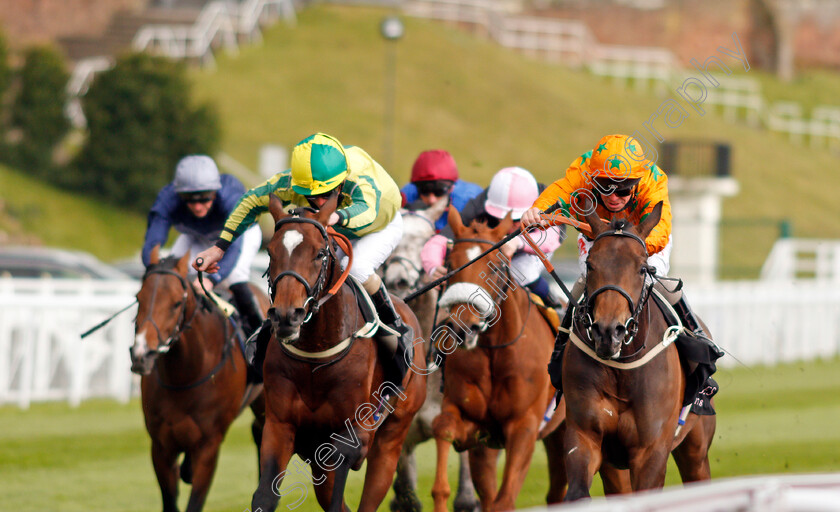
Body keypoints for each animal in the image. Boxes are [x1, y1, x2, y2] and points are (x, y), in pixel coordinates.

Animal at [130, 250, 268, 510]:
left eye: (176, 303)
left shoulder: (209, 446)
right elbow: (170, 500)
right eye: (138, 298)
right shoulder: (161, 446)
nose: (141, 354)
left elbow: (195, 500)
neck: (185, 376)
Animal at [253, 195, 426, 512]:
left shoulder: (352, 434)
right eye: (270, 252)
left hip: (393, 436)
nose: (286, 316)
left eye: (320, 253)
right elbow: (264, 497)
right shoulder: (279, 425)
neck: (315, 355)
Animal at [430, 206, 568, 510]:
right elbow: (443, 427)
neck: (495, 351)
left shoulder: (524, 427)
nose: (464, 328)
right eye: (451, 264)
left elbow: (504, 500)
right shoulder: (476, 428)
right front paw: (441, 494)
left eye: (494, 265)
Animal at [560, 203, 720, 500]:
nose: (608, 331)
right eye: (590, 264)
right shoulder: (585, 435)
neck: (620, 369)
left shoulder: (651, 450)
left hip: (696, 447)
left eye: (642, 268)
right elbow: (577, 491)